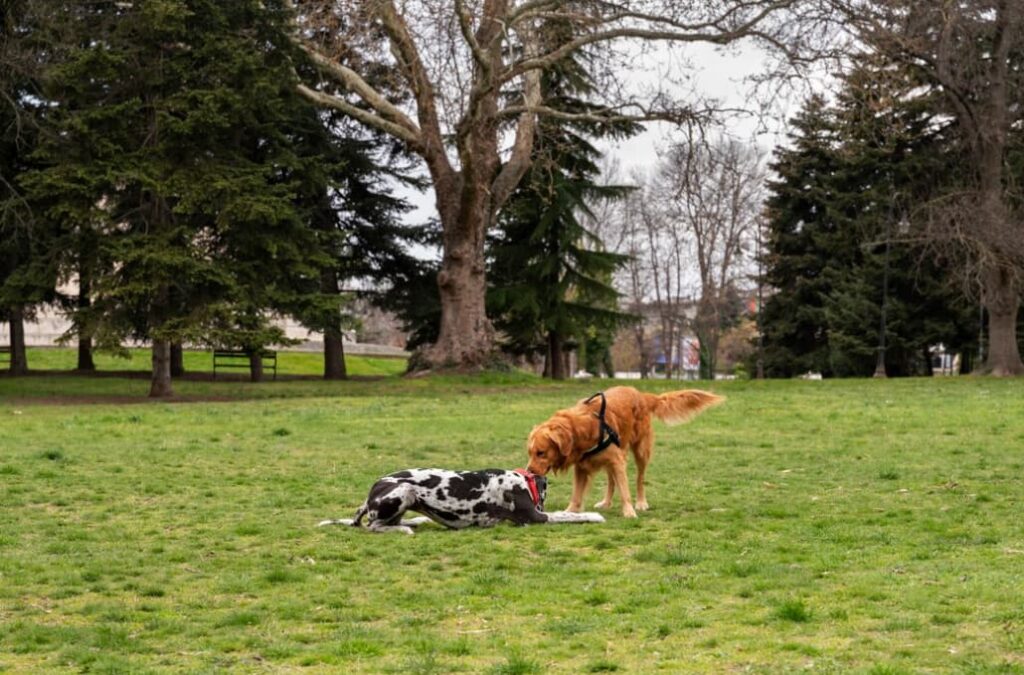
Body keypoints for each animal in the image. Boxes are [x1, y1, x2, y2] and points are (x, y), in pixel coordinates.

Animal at [528, 385, 720, 518]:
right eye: (529, 453)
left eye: (541, 452)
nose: (529, 471)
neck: (584, 427)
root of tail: (641, 394)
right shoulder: (582, 467)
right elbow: (576, 494)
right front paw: (570, 511)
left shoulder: (618, 461)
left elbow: (625, 491)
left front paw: (628, 512)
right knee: (611, 482)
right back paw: (606, 502)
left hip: (640, 452)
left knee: (639, 479)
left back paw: (641, 502)